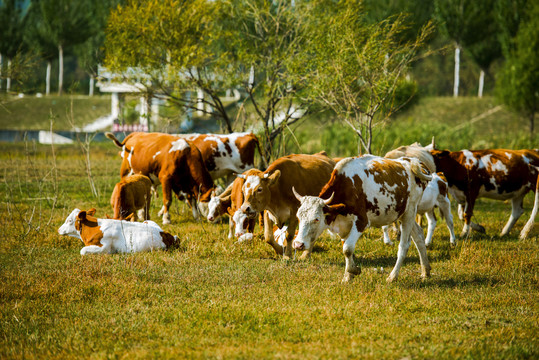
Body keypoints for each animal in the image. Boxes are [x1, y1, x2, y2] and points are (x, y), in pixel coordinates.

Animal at [288, 156, 432, 282]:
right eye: (298, 217)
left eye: (316, 219)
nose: (298, 244)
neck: (347, 186)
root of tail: (415, 162)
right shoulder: (345, 226)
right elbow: (347, 249)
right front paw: (349, 275)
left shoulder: (361, 222)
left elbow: (347, 248)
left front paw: (352, 271)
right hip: (403, 214)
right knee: (419, 236)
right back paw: (425, 271)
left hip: (410, 212)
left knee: (404, 245)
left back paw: (393, 277)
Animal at [392, 141, 539, 239]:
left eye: (424, 156)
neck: (458, 165)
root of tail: (532, 151)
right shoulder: (460, 195)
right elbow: (460, 214)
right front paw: (478, 228)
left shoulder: (471, 192)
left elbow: (466, 214)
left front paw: (464, 233)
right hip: (519, 192)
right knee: (517, 211)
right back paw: (505, 232)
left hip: (536, 185)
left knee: (534, 208)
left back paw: (525, 232)